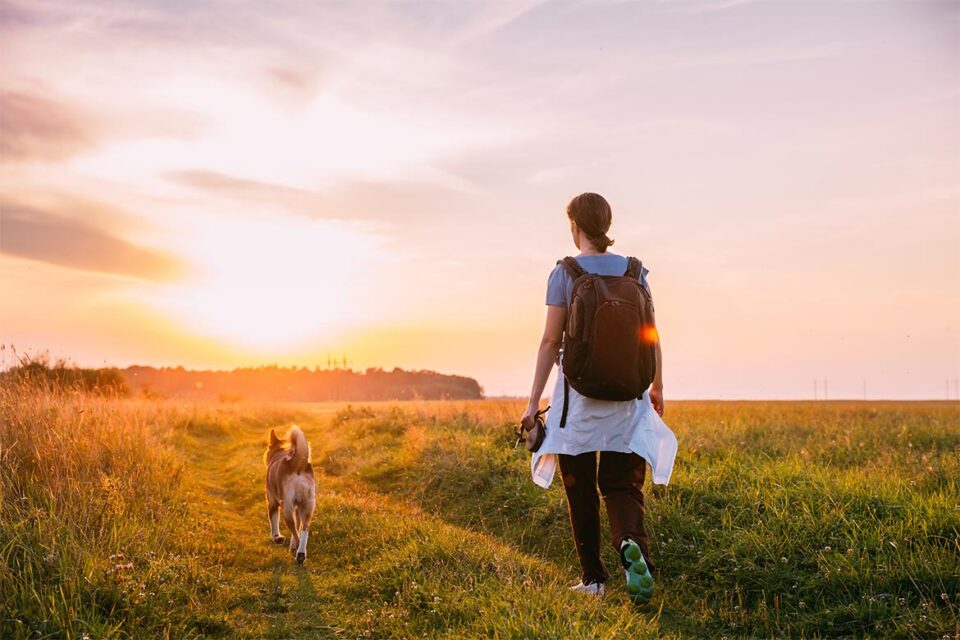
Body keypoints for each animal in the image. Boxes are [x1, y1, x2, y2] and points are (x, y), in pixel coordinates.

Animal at [264, 428, 316, 564]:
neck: (280, 451)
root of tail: (297, 464)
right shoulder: (297, 508)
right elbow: (298, 526)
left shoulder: (272, 503)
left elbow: (273, 523)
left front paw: (277, 538)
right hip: (306, 506)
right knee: (304, 530)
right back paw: (300, 552)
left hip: (286, 509)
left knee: (296, 534)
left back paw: (299, 553)